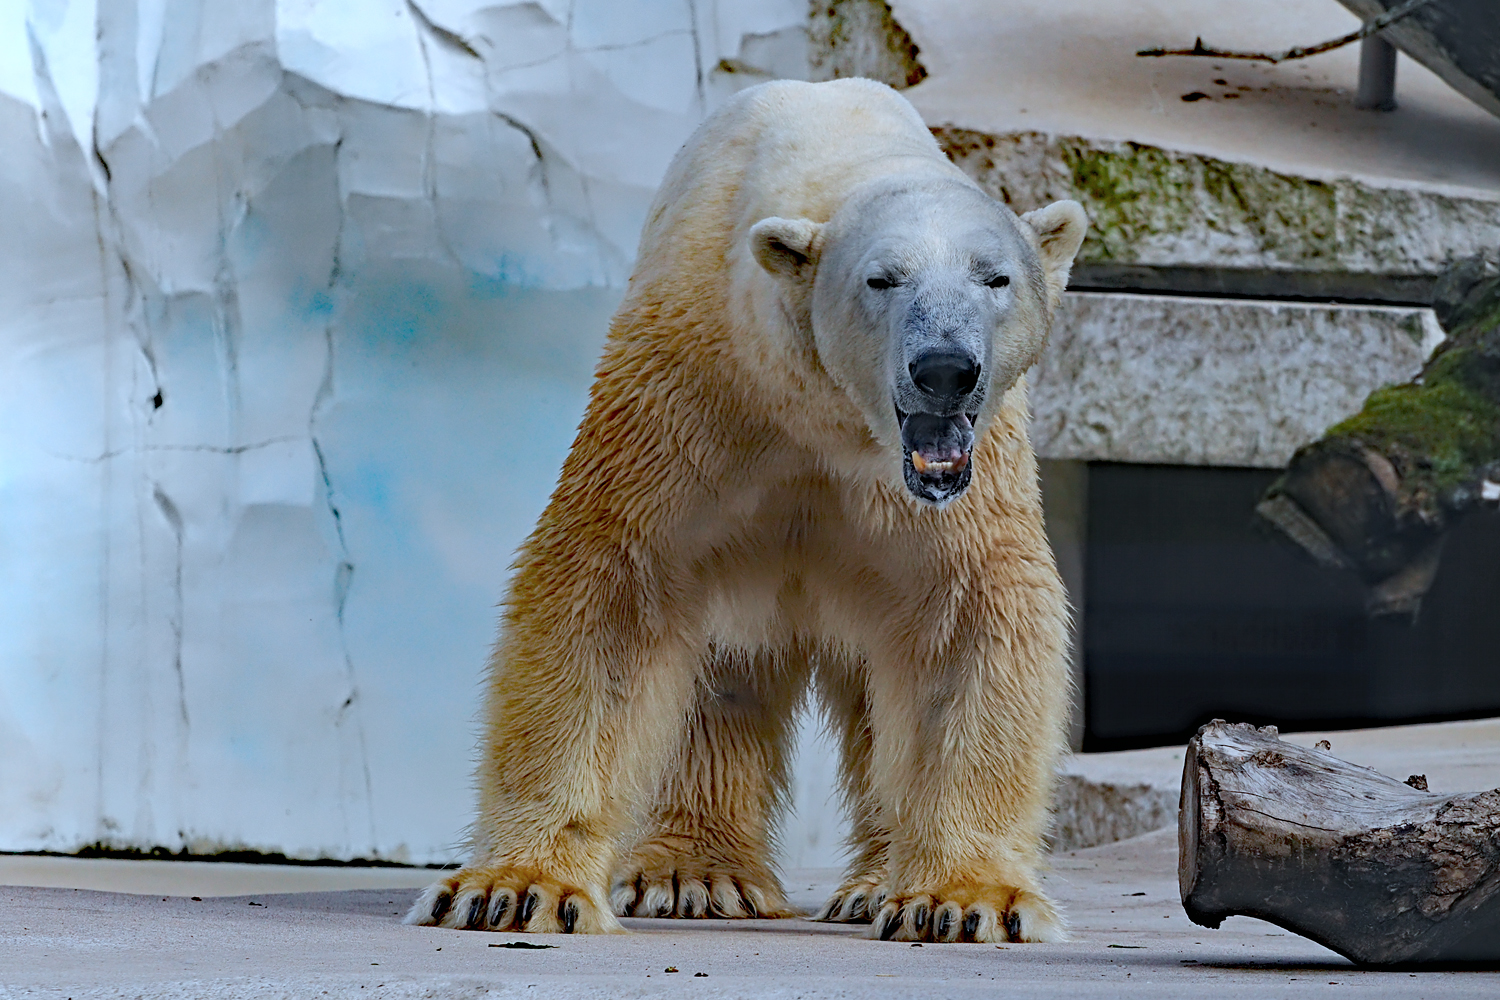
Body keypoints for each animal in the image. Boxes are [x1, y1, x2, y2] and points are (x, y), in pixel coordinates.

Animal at [411, 74, 1086, 941]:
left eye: (994, 277)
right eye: (883, 278)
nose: (944, 368)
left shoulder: (964, 475)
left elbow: (967, 617)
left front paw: (964, 900)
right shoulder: (693, 396)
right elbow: (611, 585)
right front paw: (517, 888)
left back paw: (869, 882)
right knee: (718, 675)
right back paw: (696, 874)